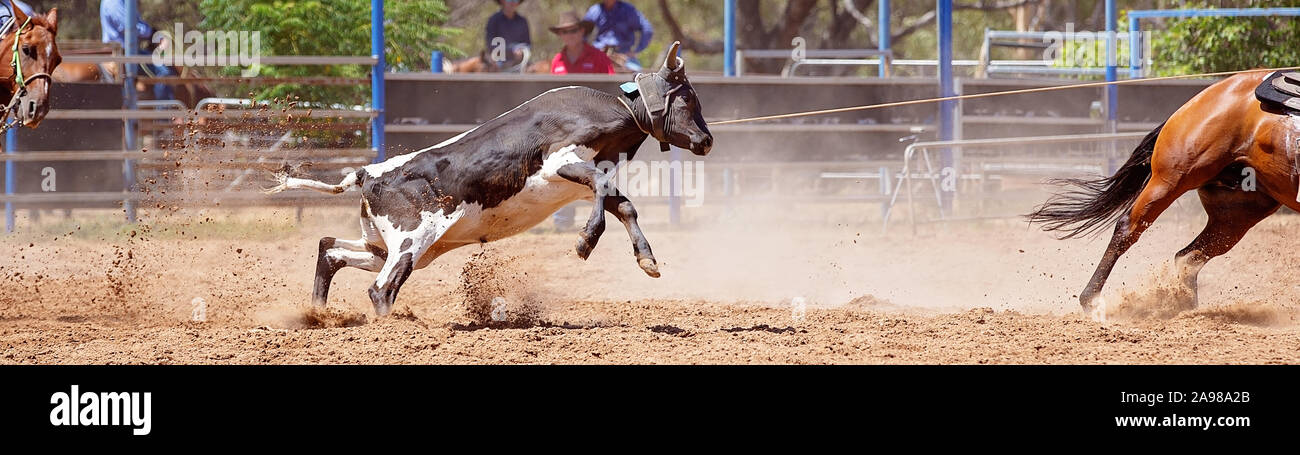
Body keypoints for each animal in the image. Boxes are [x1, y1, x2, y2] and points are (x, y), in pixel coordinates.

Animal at [265, 42, 713, 316]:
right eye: (688, 97)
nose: (707, 140)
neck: (612, 111)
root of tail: (367, 174)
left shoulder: (581, 180)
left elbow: (623, 204)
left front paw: (647, 260)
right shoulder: (560, 161)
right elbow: (606, 198)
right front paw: (585, 242)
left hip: (386, 244)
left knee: (331, 250)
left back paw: (318, 313)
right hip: (413, 238)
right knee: (381, 287)